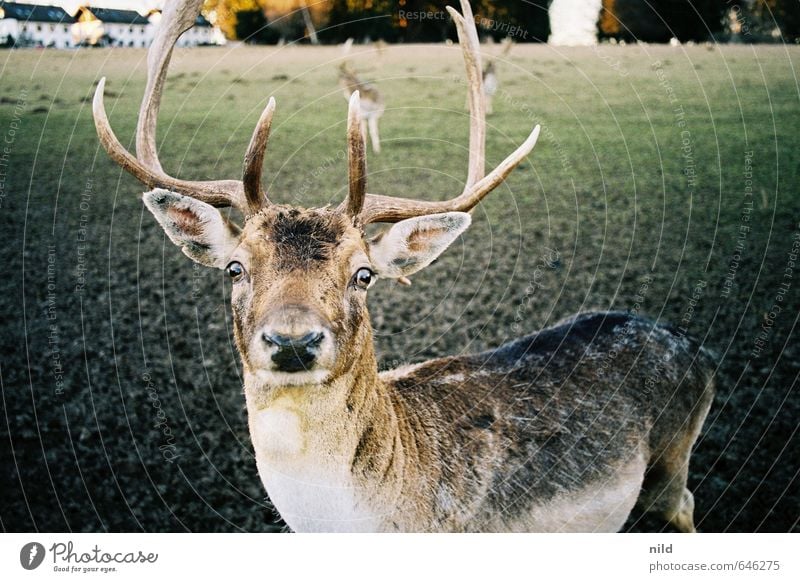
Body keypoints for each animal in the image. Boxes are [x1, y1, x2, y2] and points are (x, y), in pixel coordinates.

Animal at [92, 0, 712, 532]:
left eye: (363, 275)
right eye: (236, 268)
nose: (293, 341)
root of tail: (695, 345)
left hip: (671, 460)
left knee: (684, 503)